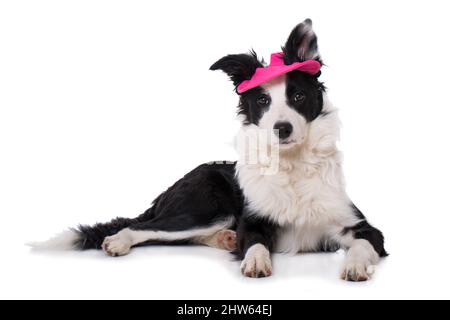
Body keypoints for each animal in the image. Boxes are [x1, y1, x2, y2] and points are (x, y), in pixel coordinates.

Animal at [34, 18, 386, 282]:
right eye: (263, 100)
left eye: (298, 96)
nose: (281, 128)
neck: (292, 165)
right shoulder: (254, 222)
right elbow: (255, 243)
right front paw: (255, 260)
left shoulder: (360, 226)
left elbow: (363, 244)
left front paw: (355, 264)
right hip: (205, 208)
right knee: (142, 226)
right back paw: (119, 240)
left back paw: (224, 238)